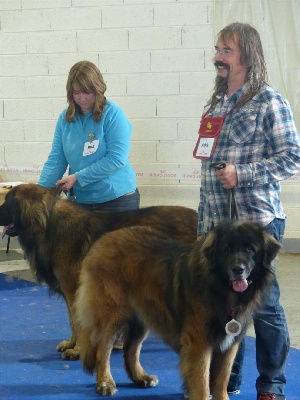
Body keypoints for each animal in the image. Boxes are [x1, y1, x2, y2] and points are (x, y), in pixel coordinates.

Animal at [0, 183, 198, 360]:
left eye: (8, 202)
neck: (47, 224)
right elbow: (72, 321)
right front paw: (71, 344)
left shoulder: (74, 290)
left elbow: (78, 322)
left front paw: (77, 350)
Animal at [75, 220, 282, 400]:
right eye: (227, 249)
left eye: (250, 249)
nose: (238, 269)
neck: (221, 289)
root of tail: (102, 240)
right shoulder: (199, 343)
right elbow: (202, 382)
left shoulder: (230, 343)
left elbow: (221, 380)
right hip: (113, 314)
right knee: (103, 348)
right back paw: (105, 383)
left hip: (143, 316)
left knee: (131, 349)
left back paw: (140, 377)